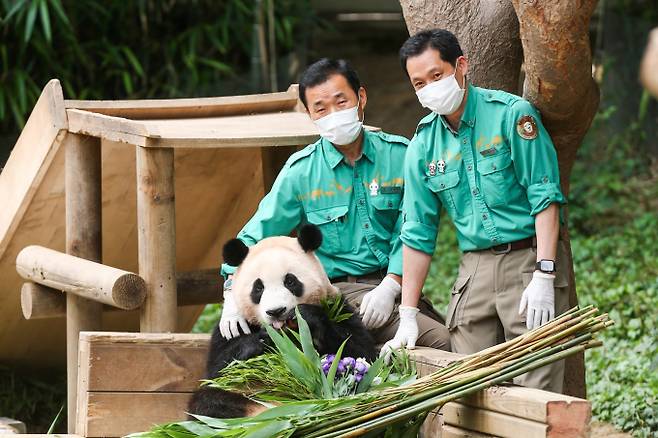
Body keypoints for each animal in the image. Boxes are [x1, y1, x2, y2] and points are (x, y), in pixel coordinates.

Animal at [187, 224, 376, 420]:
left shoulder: (337, 306)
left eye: (290, 281)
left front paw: (306, 316)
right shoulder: (234, 327)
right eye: (258, 287)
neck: (286, 331)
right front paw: (262, 339)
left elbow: (358, 351)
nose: (276, 311)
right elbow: (218, 369)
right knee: (209, 401)